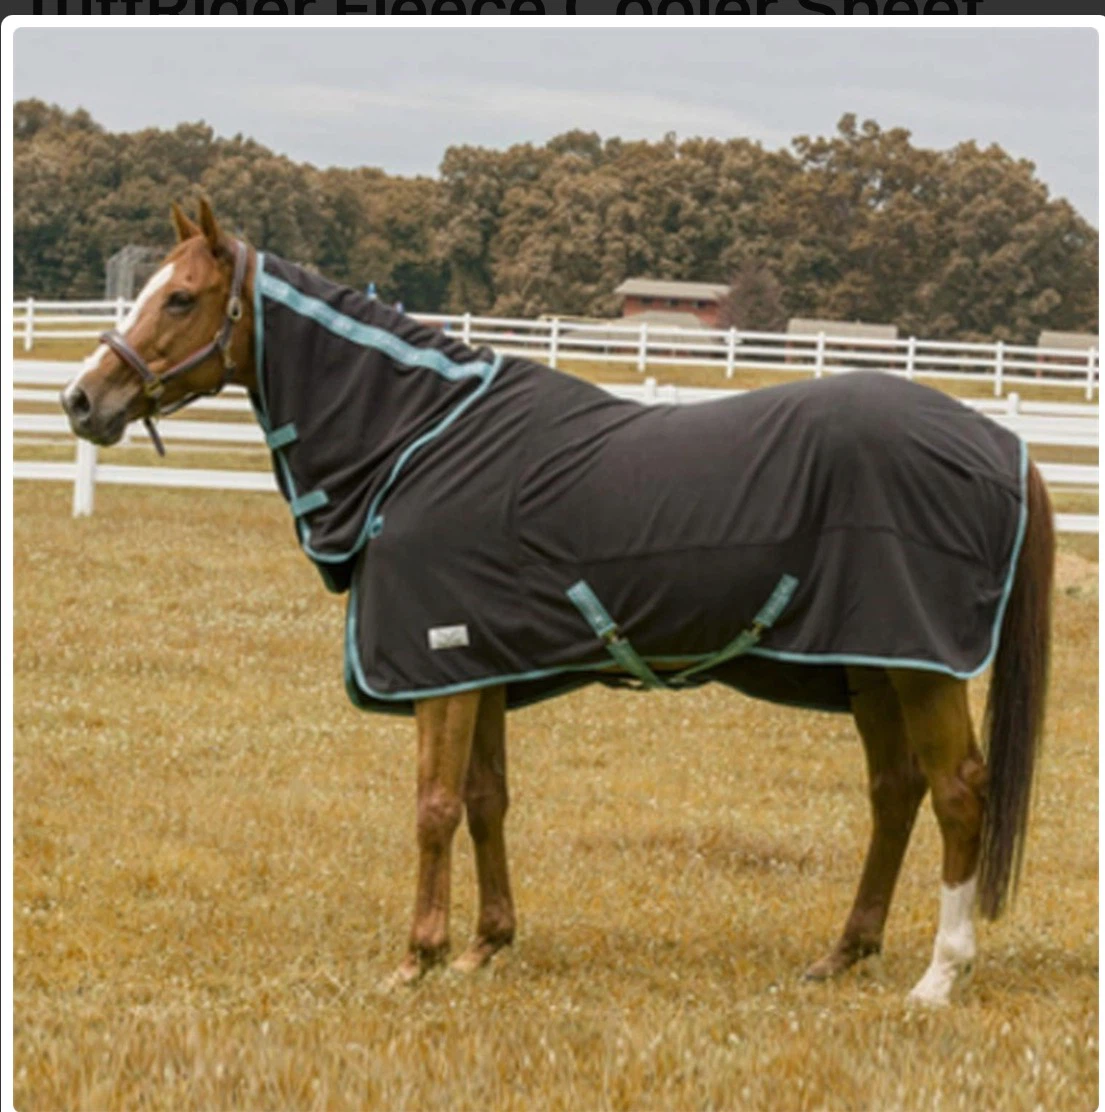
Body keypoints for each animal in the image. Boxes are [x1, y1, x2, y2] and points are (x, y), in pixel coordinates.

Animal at [61, 200, 1053, 1005]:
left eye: (181, 299)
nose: (81, 399)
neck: (418, 441)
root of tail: (999, 444)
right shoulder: (480, 663)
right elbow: (487, 798)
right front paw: (484, 947)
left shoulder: (440, 664)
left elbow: (433, 805)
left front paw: (417, 958)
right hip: (872, 666)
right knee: (894, 792)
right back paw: (844, 954)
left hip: (917, 668)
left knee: (957, 794)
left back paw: (939, 975)